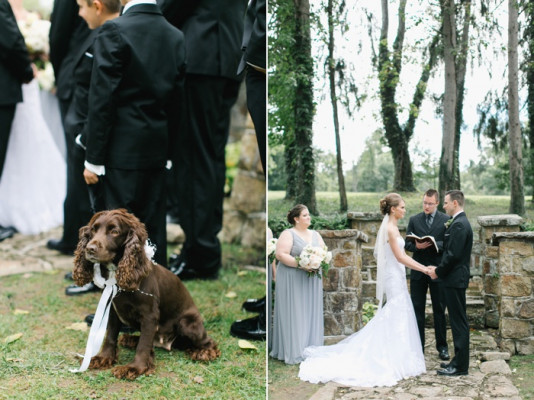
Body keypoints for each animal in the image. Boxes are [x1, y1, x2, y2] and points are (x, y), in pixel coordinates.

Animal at [73, 208, 220, 380]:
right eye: (93, 230)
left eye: (114, 231)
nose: (90, 248)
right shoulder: (113, 311)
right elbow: (110, 336)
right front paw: (104, 358)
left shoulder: (150, 316)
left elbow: (143, 345)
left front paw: (135, 368)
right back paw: (130, 339)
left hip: (186, 323)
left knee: (208, 342)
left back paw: (204, 352)